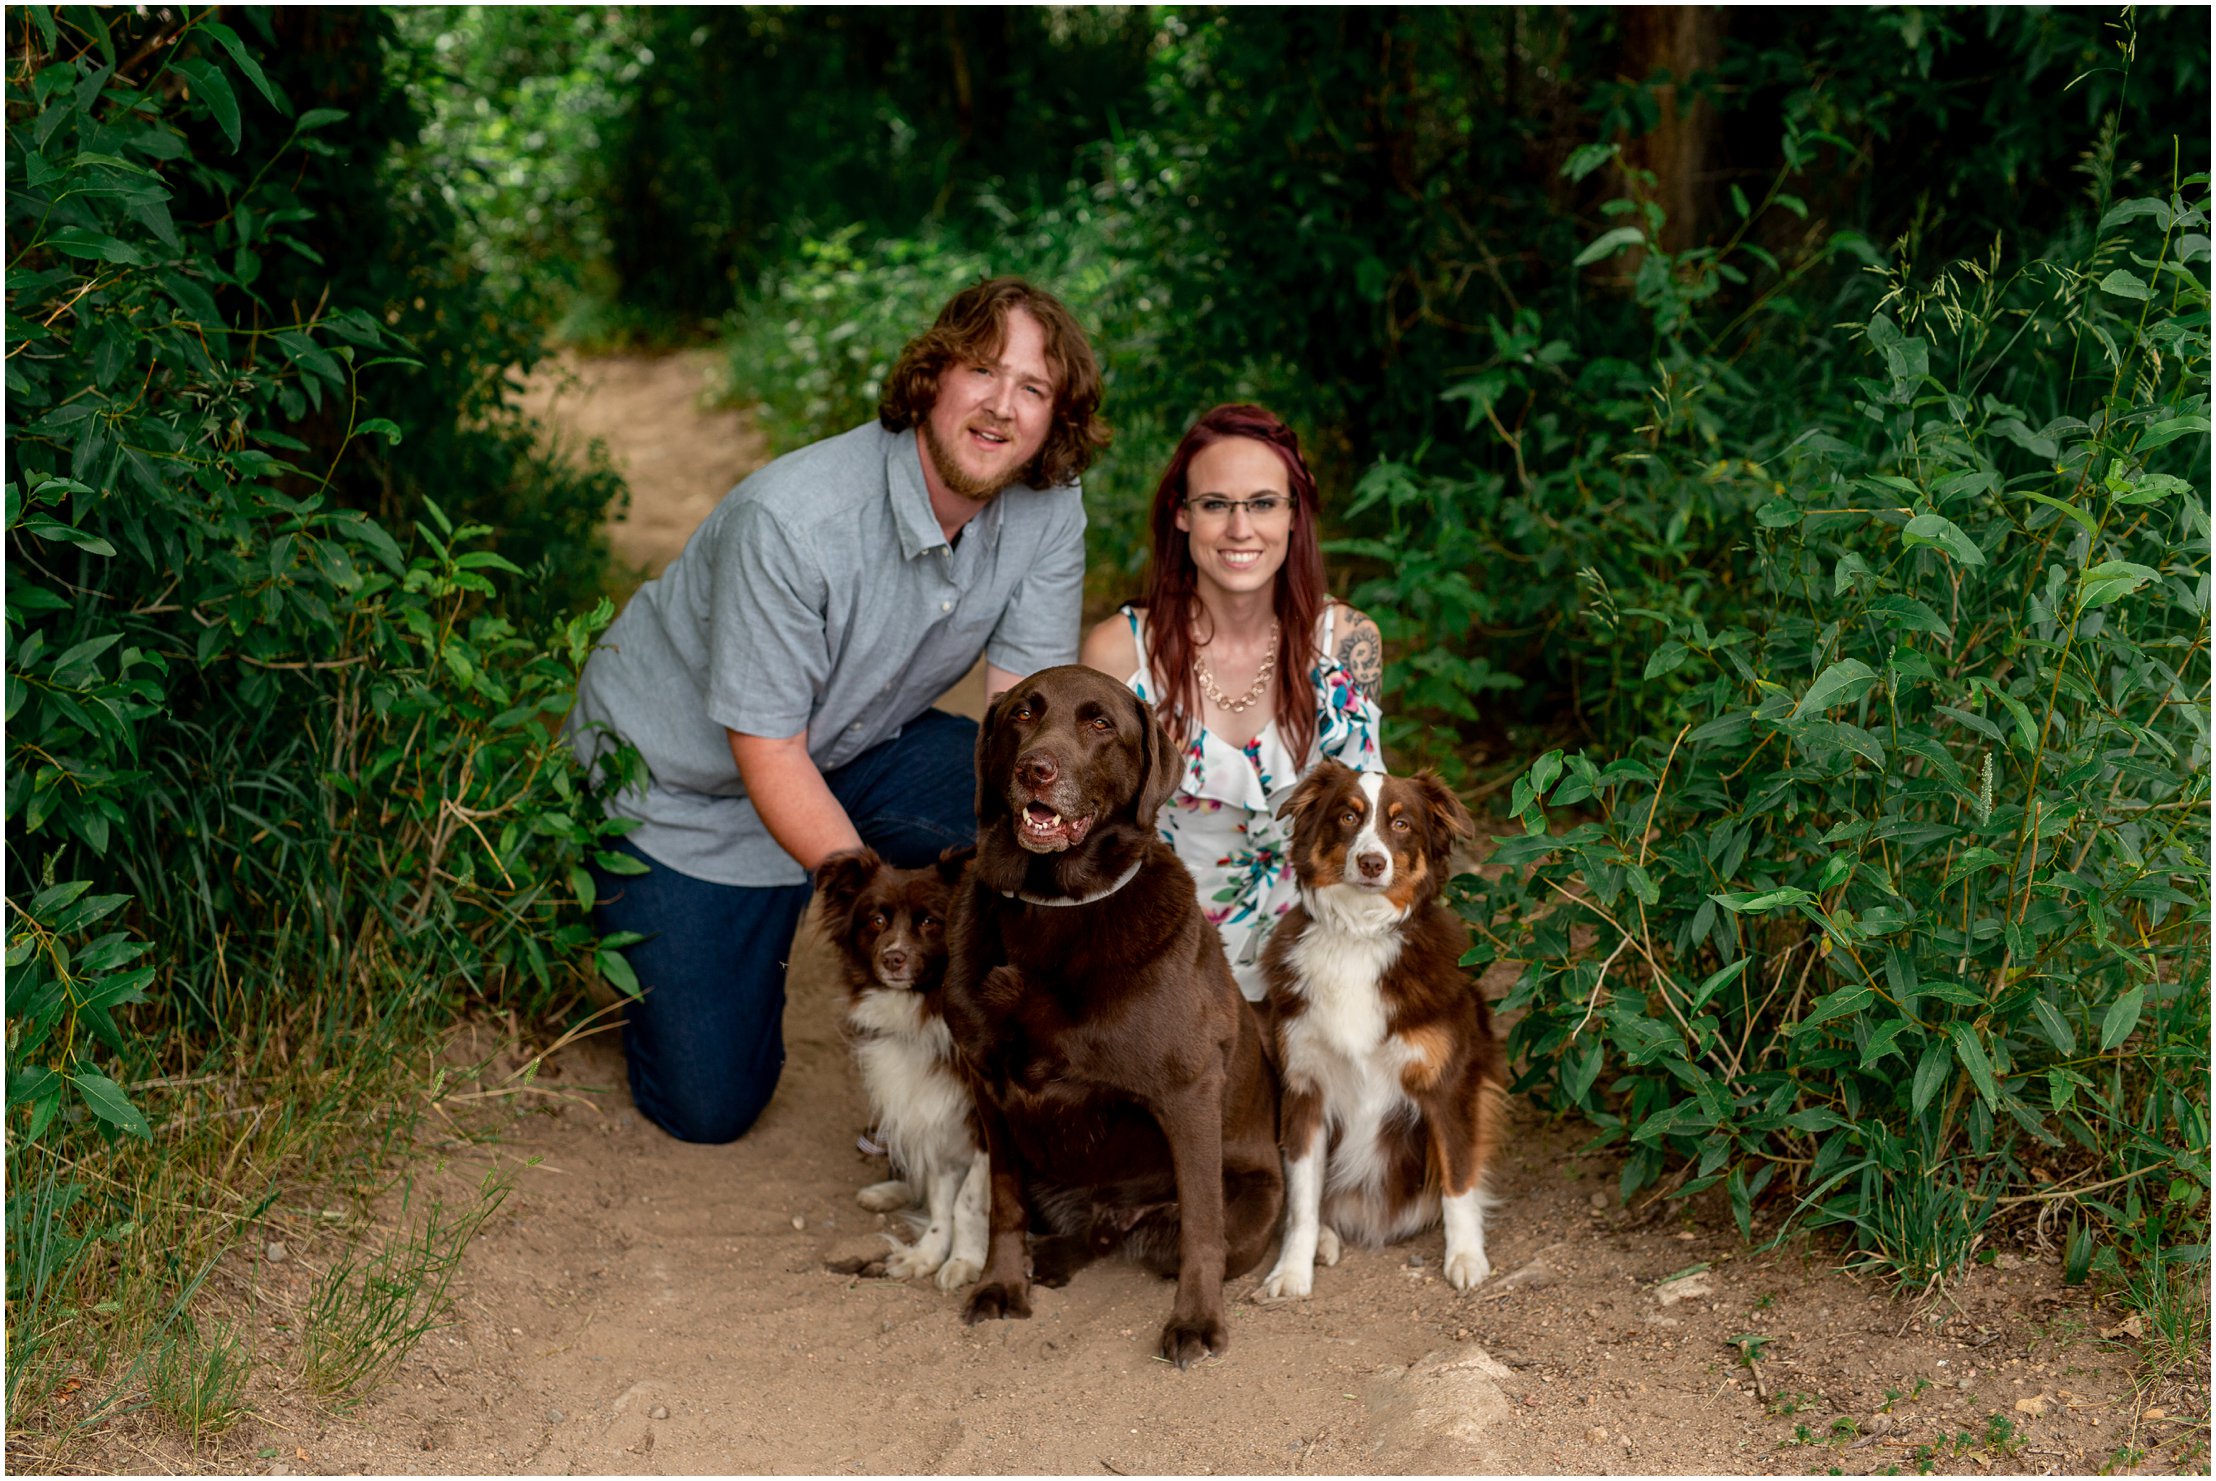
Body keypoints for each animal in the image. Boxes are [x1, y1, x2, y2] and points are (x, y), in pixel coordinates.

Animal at [815, 851, 988, 1285]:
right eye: (877, 920)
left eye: (930, 922)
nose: (893, 958)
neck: (925, 1009)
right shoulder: (934, 1113)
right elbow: (942, 1199)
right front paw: (927, 1254)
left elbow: (967, 1200)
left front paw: (965, 1261)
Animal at [1267, 762, 1506, 1294]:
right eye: (1348, 816)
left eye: (1401, 823)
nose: (1373, 863)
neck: (1359, 935)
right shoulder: (1306, 1089)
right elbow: (1301, 1200)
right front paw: (1292, 1269)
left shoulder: (1447, 1085)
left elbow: (1459, 1178)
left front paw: (1466, 1256)